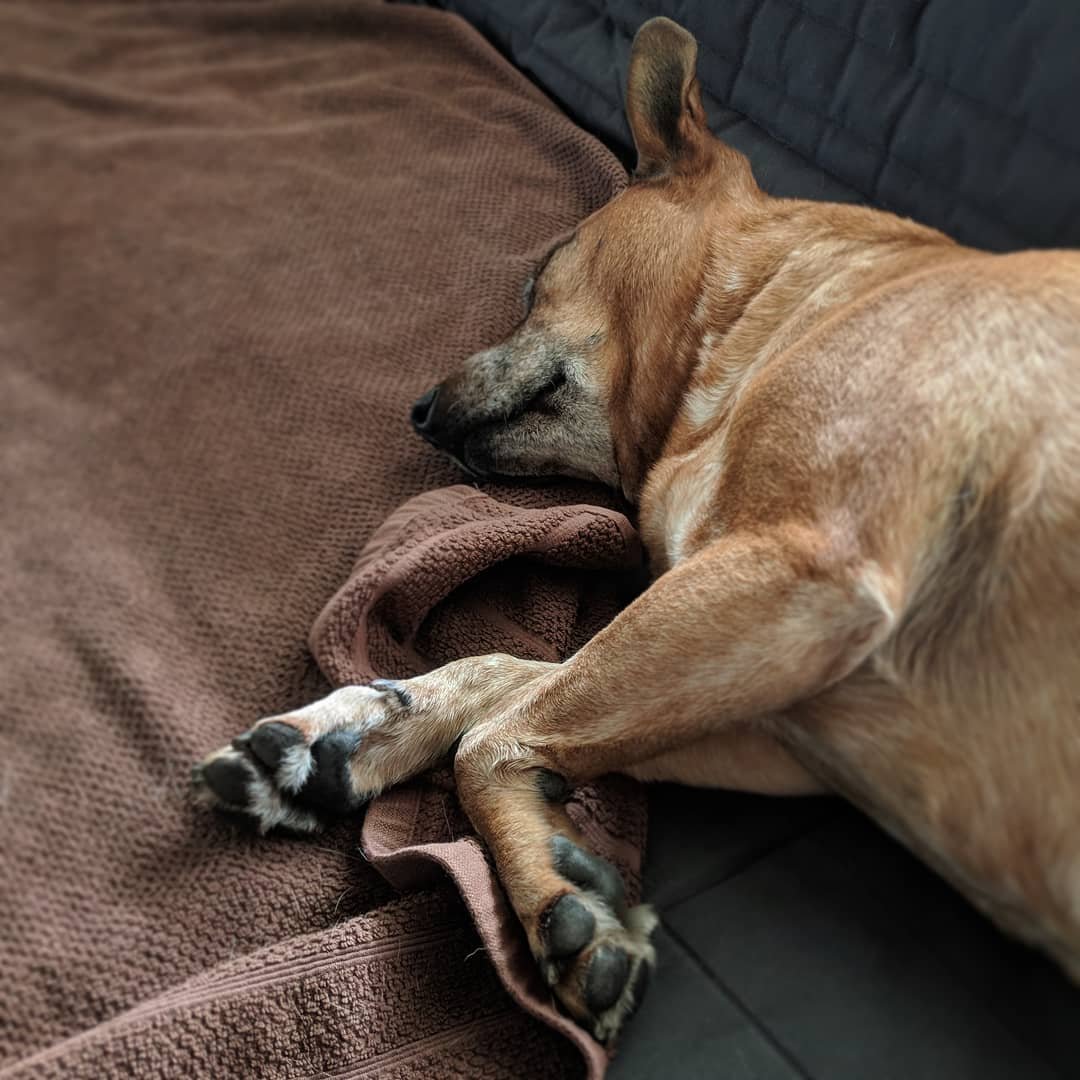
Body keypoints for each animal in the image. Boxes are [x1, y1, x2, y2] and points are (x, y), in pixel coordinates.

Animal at [194, 14, 1080, 1045]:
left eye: (539, 273)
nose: (416, 411)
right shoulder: (787, 718)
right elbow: (500, 676)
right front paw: (345, 736)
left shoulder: (802, 571)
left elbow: (491, 738)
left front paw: (554, 893)